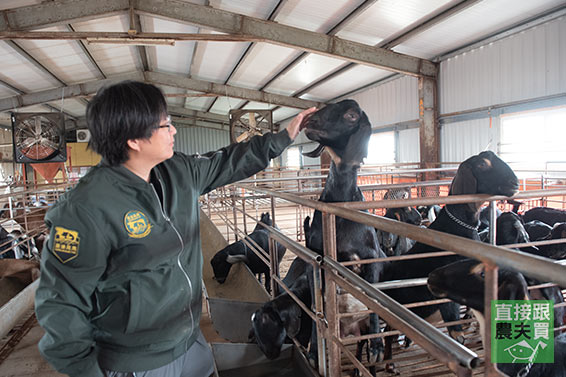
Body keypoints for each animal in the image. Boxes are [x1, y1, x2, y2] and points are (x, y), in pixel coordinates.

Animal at [302, 100, 386, 374]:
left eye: (351, 115)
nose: (310, 121)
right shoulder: (315, 261)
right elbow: (317, 308)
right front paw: (314, 354)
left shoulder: (371, 259)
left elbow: (373, 300)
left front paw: (378, 347)